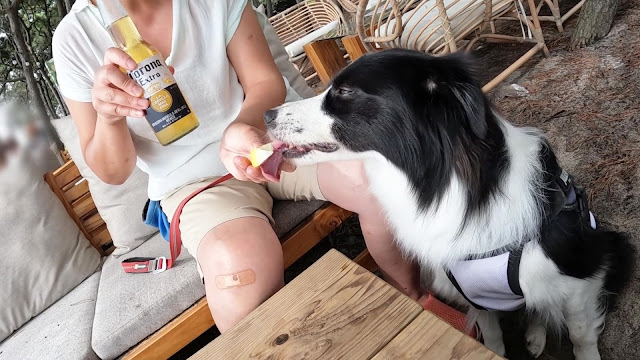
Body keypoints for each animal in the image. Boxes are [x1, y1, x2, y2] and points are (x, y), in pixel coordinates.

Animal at [264, 48, 636, 360]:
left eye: (344, 92)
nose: (267, 114)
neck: (446, 185)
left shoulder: (580, 279)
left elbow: (580, 335)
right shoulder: (475, 293)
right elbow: (491, 336)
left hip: (614, 246)